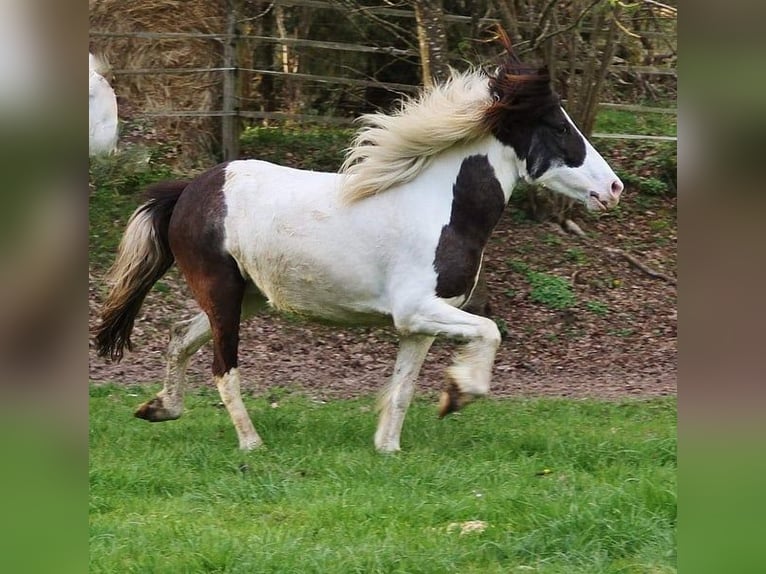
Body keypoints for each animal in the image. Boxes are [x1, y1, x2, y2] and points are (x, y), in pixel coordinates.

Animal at [93, 37, 623, 452]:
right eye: (560, 127)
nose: (614, 188)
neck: (439, 207)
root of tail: (189, 190)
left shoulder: (422, 324)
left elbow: (403, 387)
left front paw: (389, 447)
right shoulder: (415, 310)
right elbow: (489, 332)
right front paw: (458, 395)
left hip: (247, 296)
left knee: (180, 336)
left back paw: (160, 408)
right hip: (221, 291)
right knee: (224, 368)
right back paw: (251, 443)